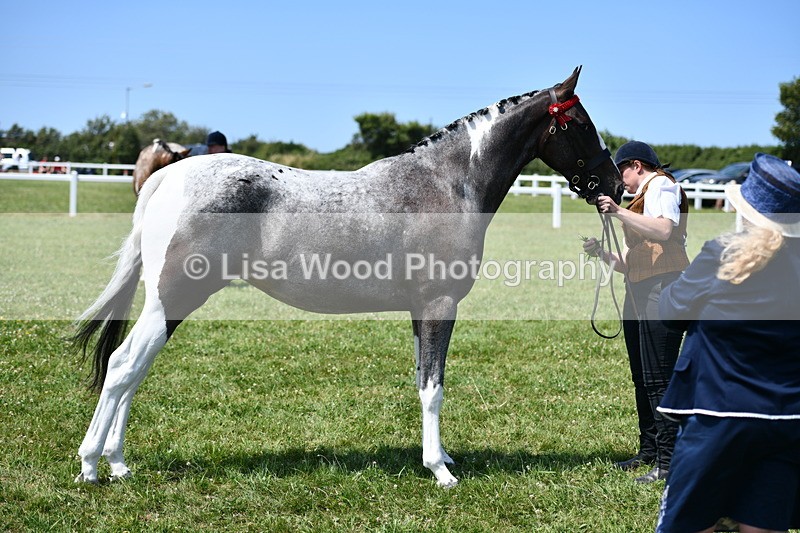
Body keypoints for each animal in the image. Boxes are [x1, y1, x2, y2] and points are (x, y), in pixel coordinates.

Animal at [72, 66, 623, 488]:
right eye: (580, 124)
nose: (615, 184)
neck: (446, 186)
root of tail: (167, 177)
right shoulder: (439, 306)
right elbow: (434, 387)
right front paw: (440, 472)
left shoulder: (419, 310)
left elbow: (422, 380)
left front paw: (440, 458)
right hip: (174, 298)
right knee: (123, 366)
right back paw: (92, 465)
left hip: (169, 304)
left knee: (134, 369)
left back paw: (118, 464)